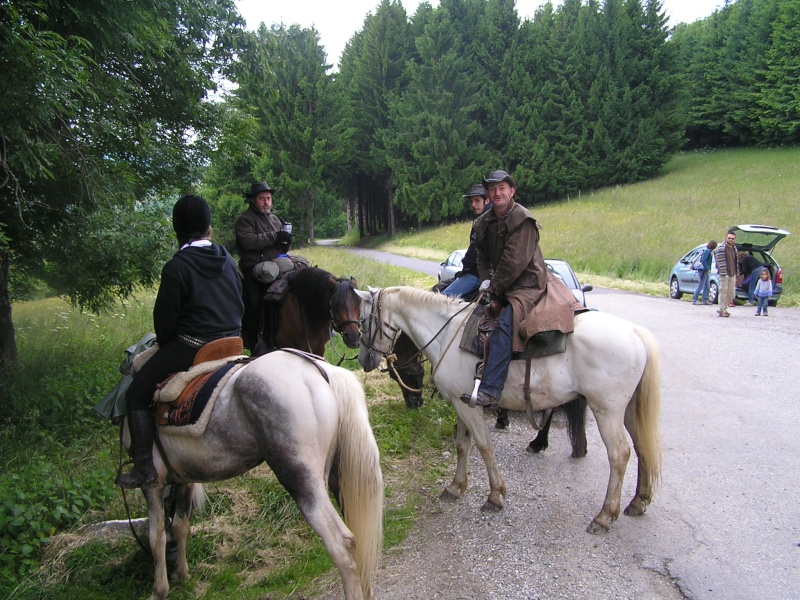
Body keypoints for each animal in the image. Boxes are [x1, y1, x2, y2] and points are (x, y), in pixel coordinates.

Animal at [126, 352, 382, 600]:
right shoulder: (183, 480)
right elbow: (180, 525)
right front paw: (181, 573)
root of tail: (324, 372)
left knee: (342, 543)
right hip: (340, 481)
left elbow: (156, 535)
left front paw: (159, 590)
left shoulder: (152, 485)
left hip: (304, 483)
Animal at [360, 288, 660, 536]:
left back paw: (605, 516)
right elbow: (462, 445)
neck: (447, 334)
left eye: (363, 321)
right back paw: (638, 502)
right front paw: (456, 487)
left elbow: (484, 447)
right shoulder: (459, 404)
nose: (364, 360)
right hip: (628, 411)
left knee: (619, 454)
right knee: (642, 447)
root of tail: (636, 332)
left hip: (607, 411)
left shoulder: (469, 407)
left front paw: (495, 496)